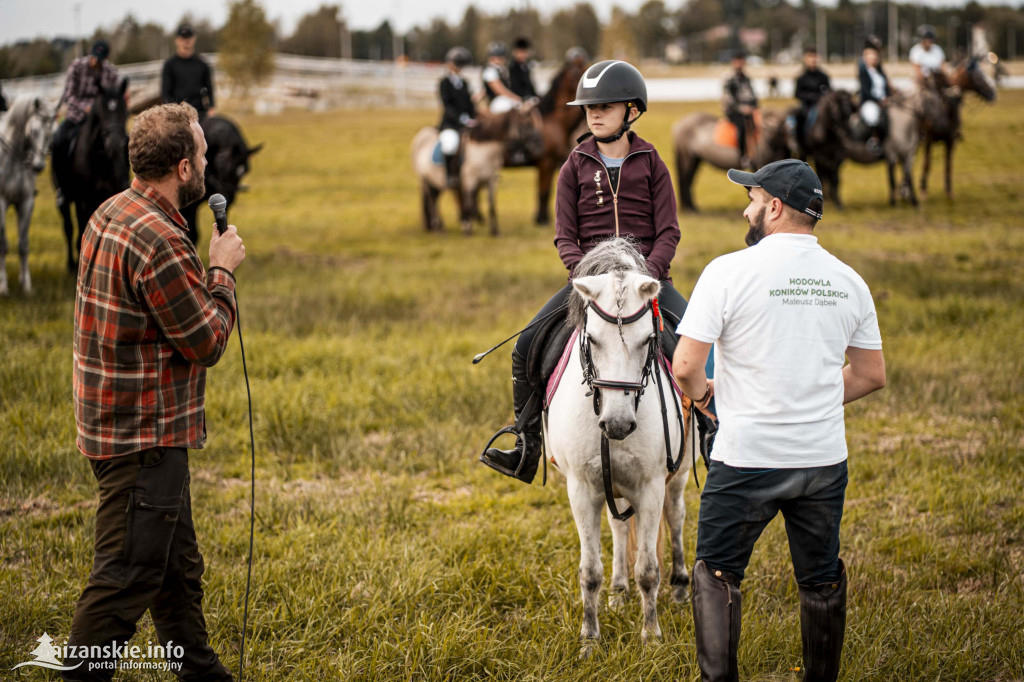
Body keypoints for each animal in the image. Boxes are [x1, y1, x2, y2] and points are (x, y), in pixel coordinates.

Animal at [0, 96, 55, 294]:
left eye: (50, 133)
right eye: (33, 130)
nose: (38, 166)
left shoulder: (26, 202)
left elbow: (23, 244)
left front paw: (26, 285)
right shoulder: (2, 202)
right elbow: (3, 244)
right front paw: (3, 285)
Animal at [54, 79, 130, 270]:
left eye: (124, 110)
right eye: (102, 112)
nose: (115, 144)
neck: (100, 161)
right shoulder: (83, 200)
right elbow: (82, 227)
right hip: (65, 200)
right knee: (68, 226)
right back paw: (71, 264)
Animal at [540, 236, 692, 651]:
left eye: (648, 340)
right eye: (591, 339)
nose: (618, 425)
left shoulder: (651, 486)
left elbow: (649, 570)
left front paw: (651, 638)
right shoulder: (581, 488)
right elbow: (589, 570)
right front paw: (589, 640)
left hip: (678, 476)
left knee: (676, 518)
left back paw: (680, 587)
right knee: (620, 527)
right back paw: (618, 591)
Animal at [917, 58, 995, 199]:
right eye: (978, 75)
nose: (992, 93)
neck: (944, 108)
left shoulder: (950, 141)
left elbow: (948, 165)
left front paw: (949, 191)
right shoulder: (928, 141)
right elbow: (927, 163)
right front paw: (923, 190)